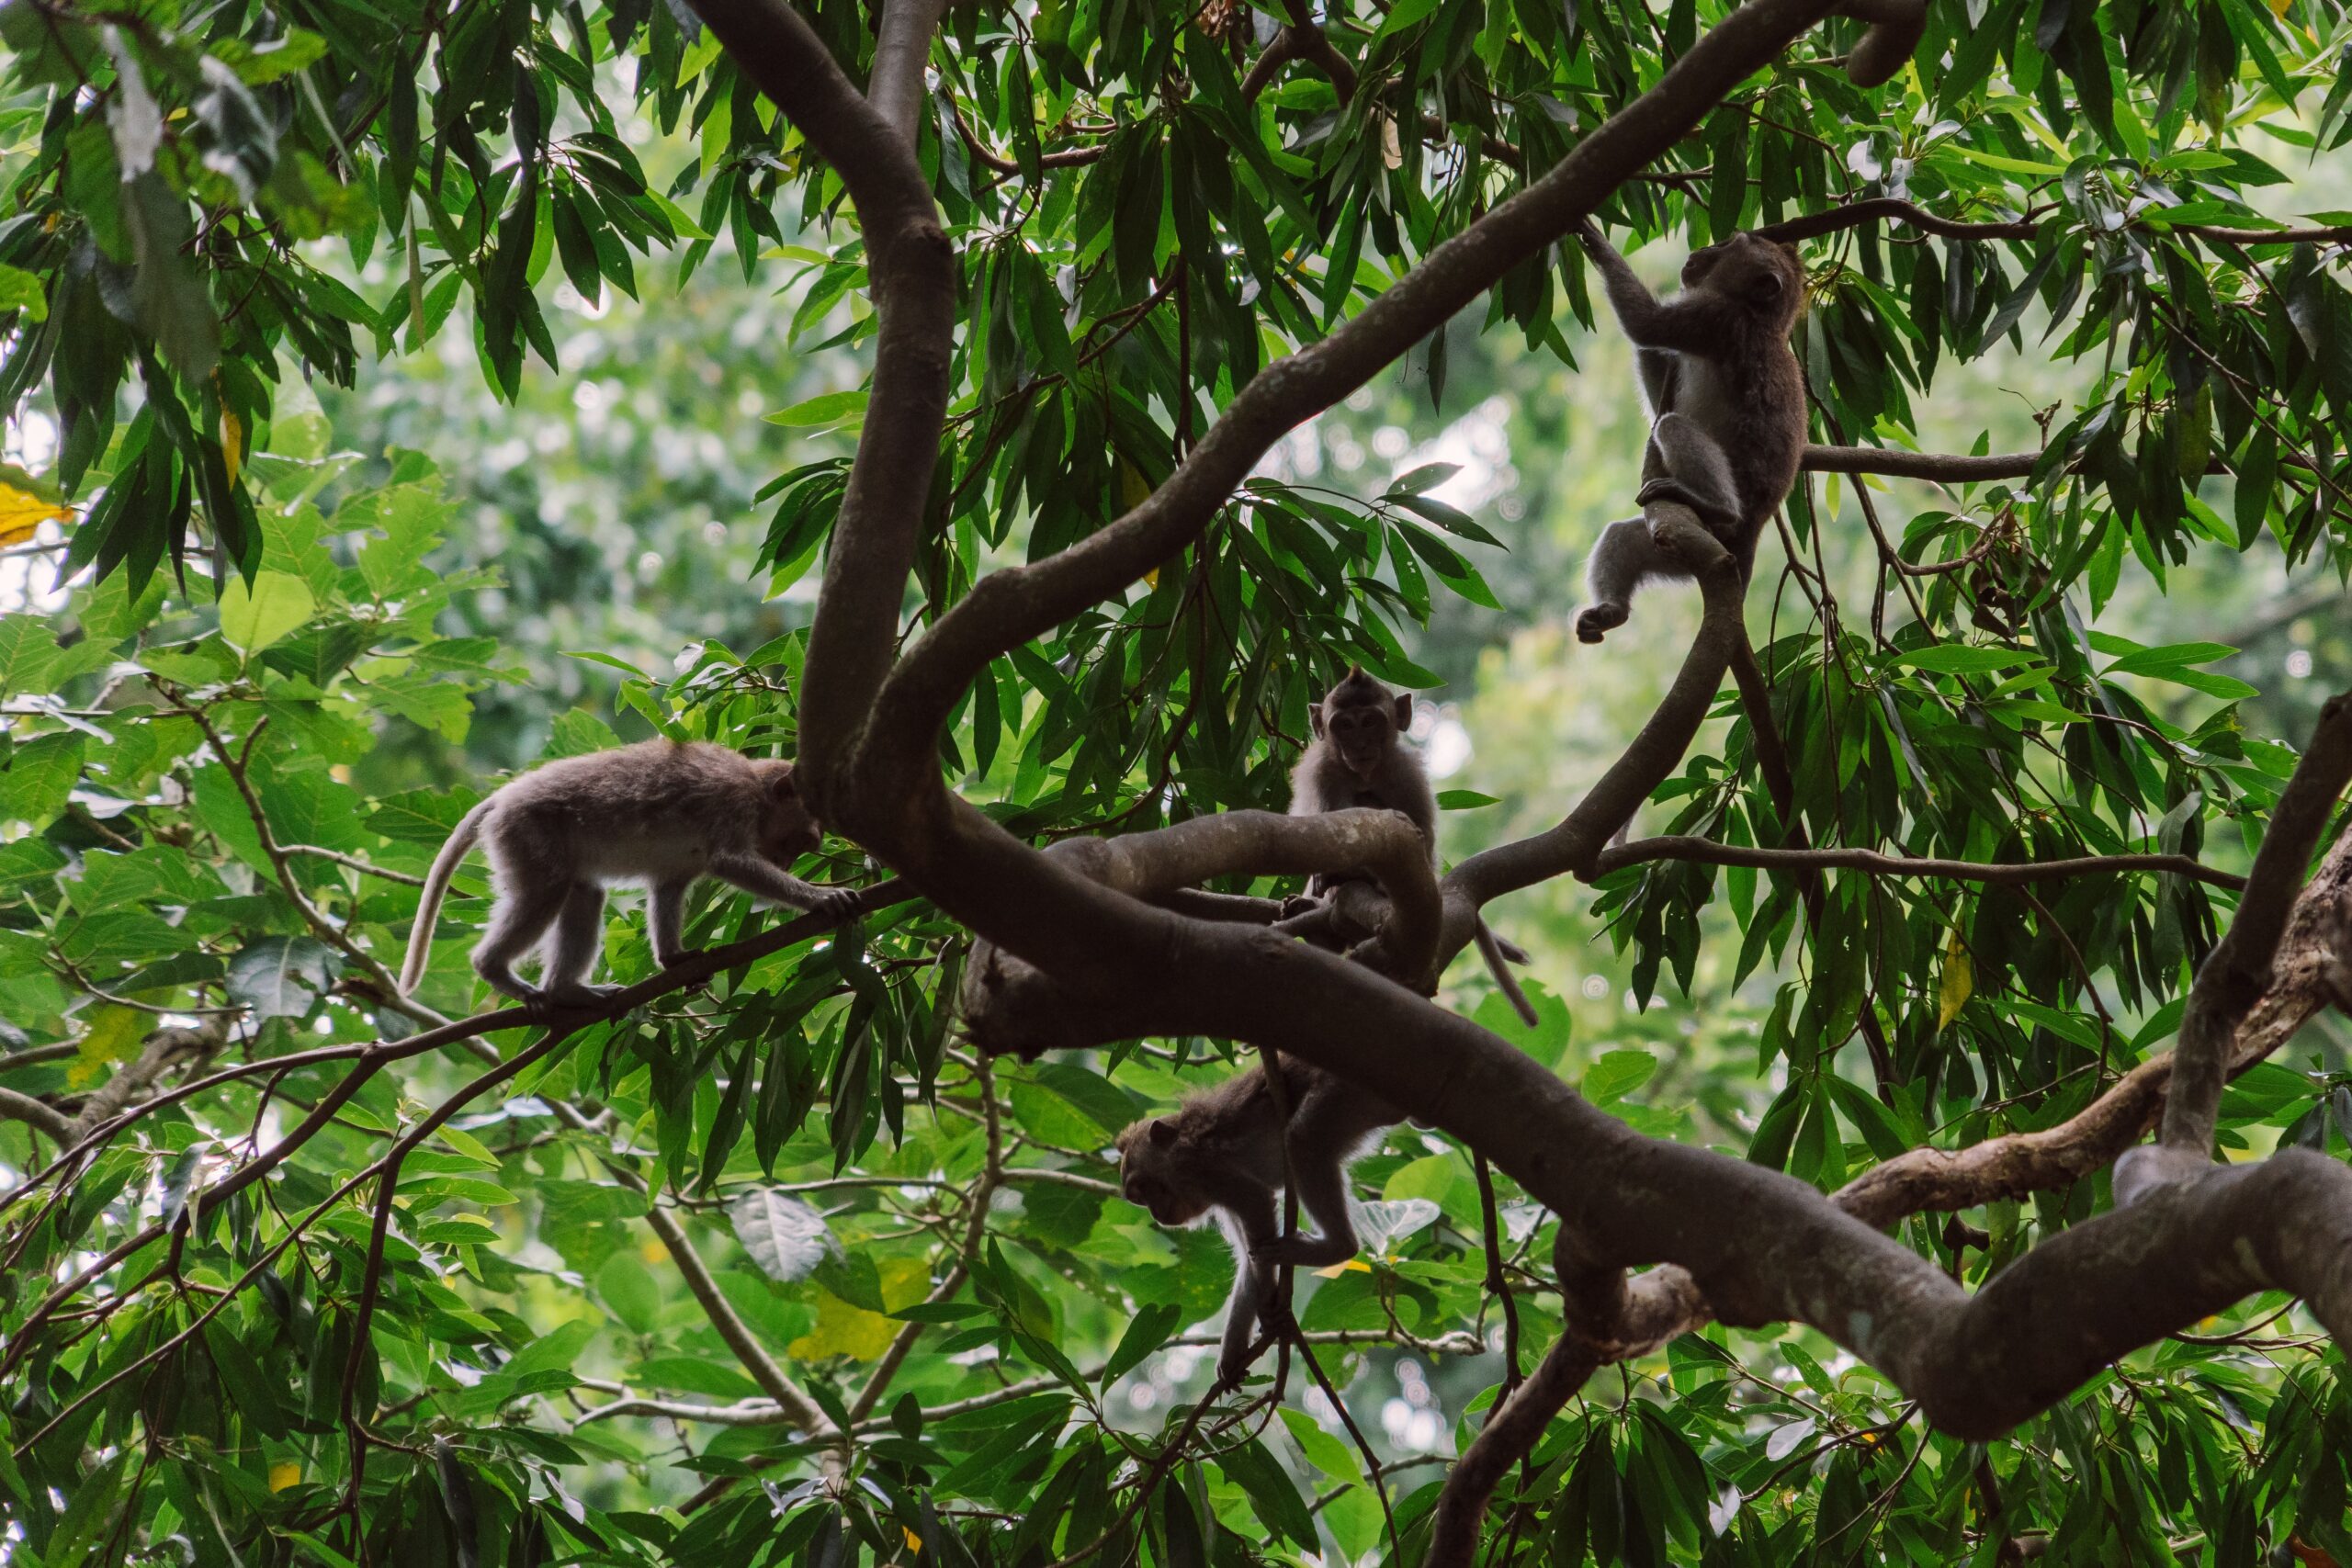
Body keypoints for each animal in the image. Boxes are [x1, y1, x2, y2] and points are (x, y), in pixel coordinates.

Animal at [401, 738, 865, 1010]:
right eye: (800, 841)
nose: (786, 866)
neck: (754, 788)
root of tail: (503, 797)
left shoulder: (684, 861)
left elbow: (669, 886)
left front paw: (675, 958)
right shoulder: (732, 806)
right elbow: (731, 862)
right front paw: (820, 898)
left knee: (584, 894)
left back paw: (565, 990)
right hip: (526, 832)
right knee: (546, 893)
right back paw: (494, 968)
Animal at [1105, 1053, 1383, 1382]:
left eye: (1145, 1189)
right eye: (1139, 1200)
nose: (1157, 1214)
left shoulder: (1201, 1169)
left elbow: (1256, 1202)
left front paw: (1268, 1309)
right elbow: (1247, 1259)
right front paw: (1231, 1354)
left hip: (1338, 1091)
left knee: (1302, 1140)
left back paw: (1340, 1246)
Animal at [1288, 662, 1543, 1029]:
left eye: (1370, 721)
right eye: (1344, 725)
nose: (1360, 744)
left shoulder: (1407, 773)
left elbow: (1422, 840)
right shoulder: (1321, 771)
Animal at [1571, 220, 1806, 644]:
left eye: (1732, 244)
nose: (1702, 250)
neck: (1762, 317)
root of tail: (1752, 530)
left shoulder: (1713, 317)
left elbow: (1646, 324)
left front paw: (1593, 239)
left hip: (1733, 509)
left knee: (1673, 426)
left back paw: (1720, 507)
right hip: (1686, 546)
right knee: (1624, 536)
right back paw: (1612, 611)